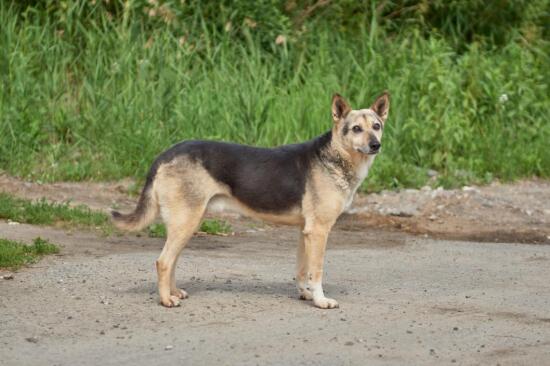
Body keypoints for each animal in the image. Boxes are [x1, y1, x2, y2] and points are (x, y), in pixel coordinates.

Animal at [112, 92, 390, 308]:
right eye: (356, 129)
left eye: (376, 126)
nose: (376, 145)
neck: (336, 155)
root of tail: (165, 154)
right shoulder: (319, 231)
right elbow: (316, 271)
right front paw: (320, 300)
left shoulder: (306, 231)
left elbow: (302, 270)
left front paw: (306, 294)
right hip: (186, 221)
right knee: (163, 261)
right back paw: (165, 300)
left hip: (187, 222)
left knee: (171, 260)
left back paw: (173, 292)